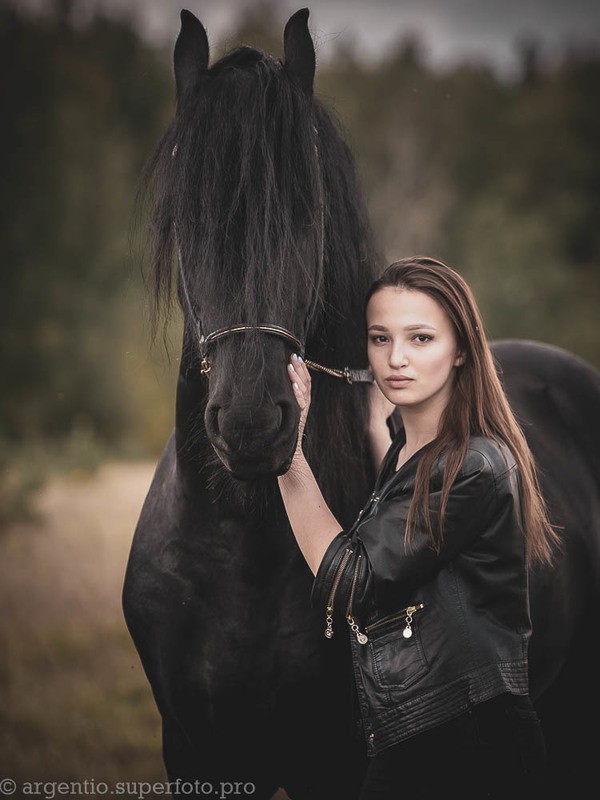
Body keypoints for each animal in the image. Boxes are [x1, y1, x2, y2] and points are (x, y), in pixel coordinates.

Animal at [122, 7, 600, 800]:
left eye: (307, 215)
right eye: (187, 217)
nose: (253, 424)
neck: (240, 555)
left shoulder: (339, 766)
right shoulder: (196, 751)